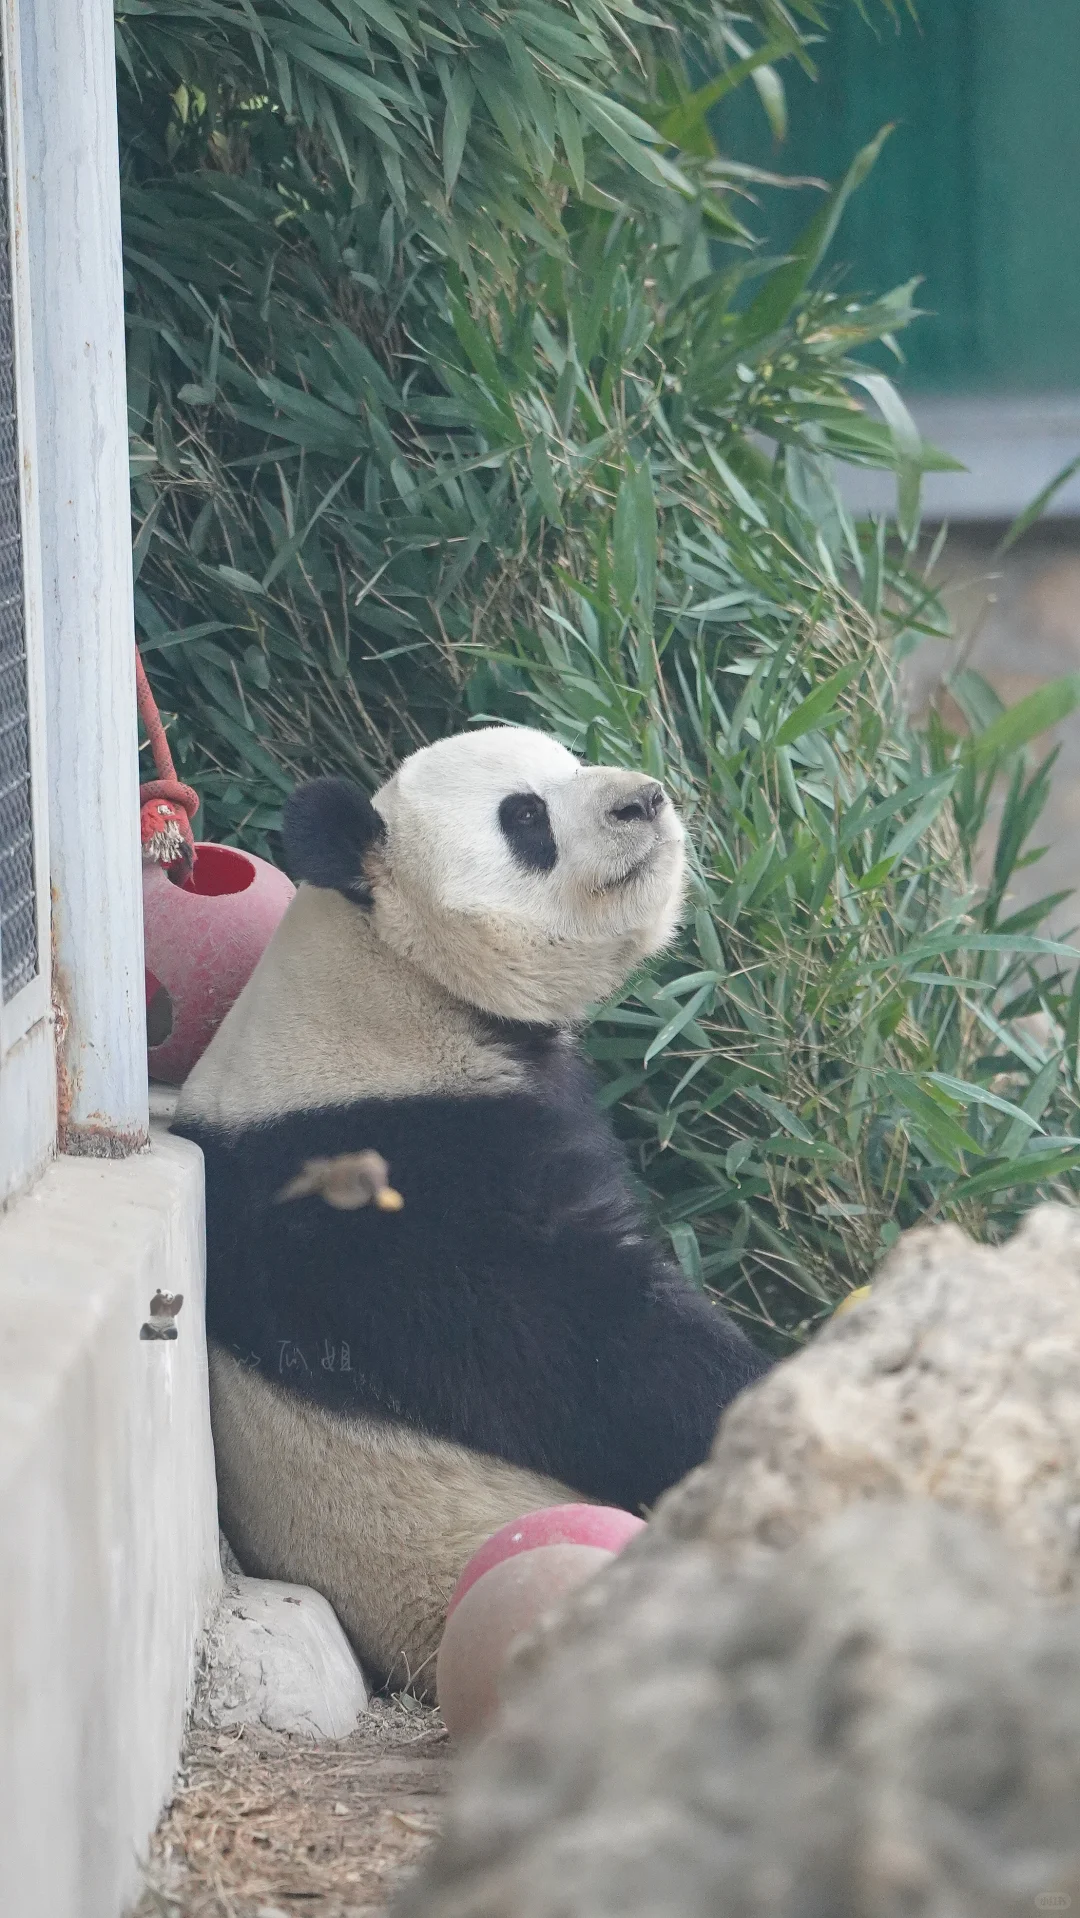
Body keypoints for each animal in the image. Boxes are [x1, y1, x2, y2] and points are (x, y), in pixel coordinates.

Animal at [175, 728, 767, 1695]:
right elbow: (593, 1350)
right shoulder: (397, 1191)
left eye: (572, 762)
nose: (644, 800)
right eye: (524, 816)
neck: (393, 977)